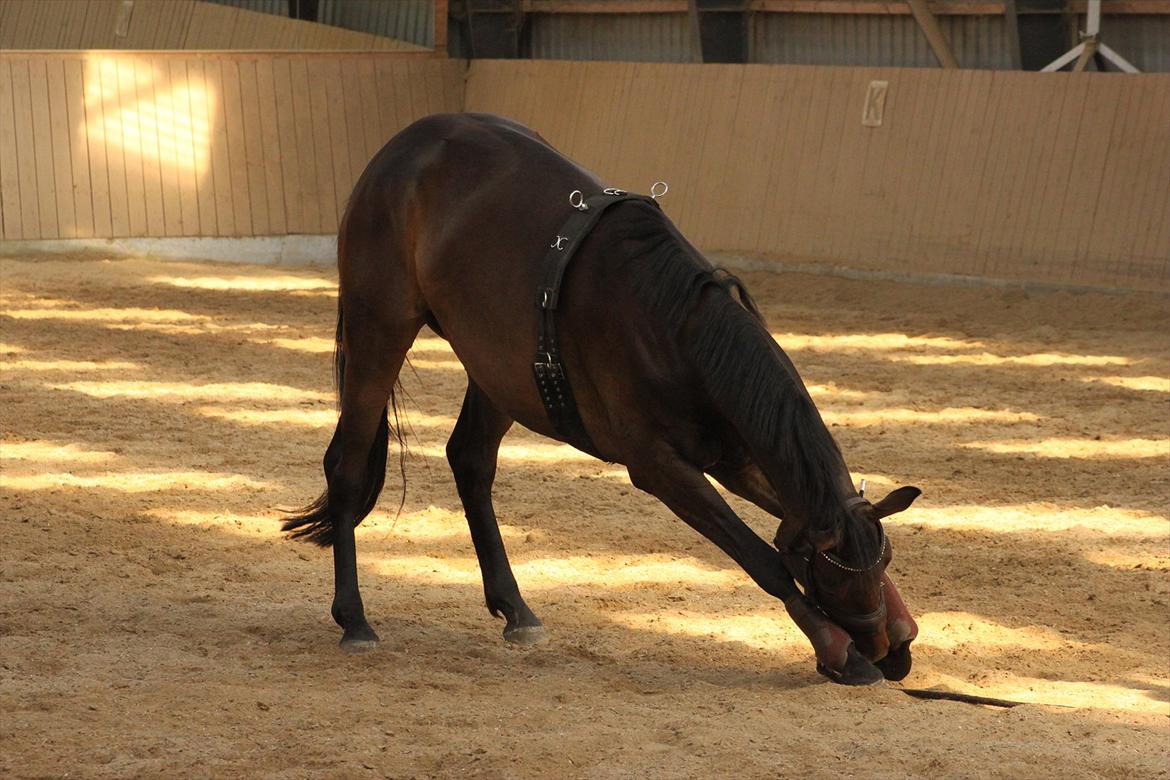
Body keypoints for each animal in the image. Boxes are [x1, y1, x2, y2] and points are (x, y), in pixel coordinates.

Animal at [283, 112, 921, 687]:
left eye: (885, 560)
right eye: (829, 573)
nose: (878, 644)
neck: (673, 330)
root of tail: (403, 147)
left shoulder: (736, 455)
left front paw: (896, 625)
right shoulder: (659, 467)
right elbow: (757, 556)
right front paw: (838, 649)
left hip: (497, 369)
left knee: (469, 461)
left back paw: (515, 609)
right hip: (380, 326)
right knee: (347, 463)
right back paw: (355, 619)